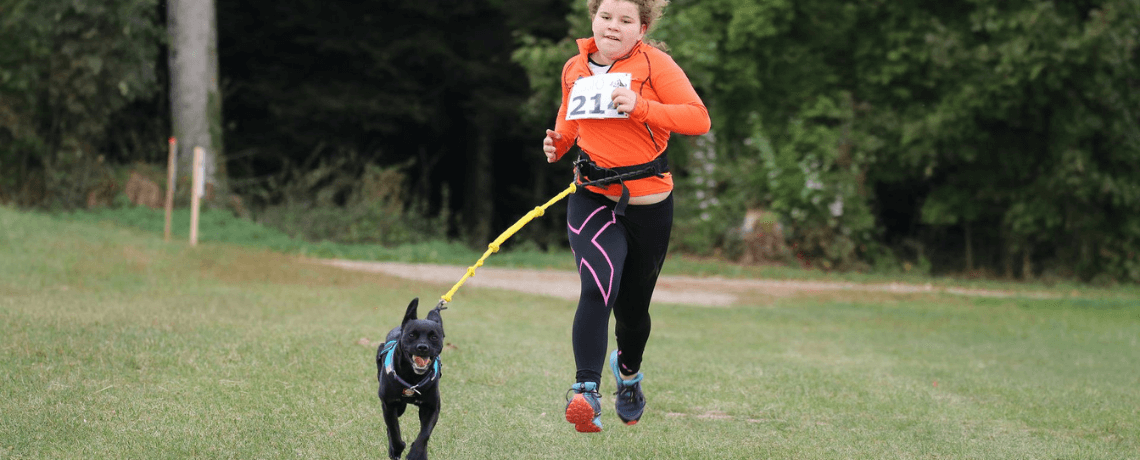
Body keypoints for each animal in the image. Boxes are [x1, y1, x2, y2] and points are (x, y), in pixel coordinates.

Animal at [376, 298, 442, 459]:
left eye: (434, 337)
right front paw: (397, 449)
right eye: (412, 335)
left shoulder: (432, 407)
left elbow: (424, 434)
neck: (413, 379)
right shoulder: (389, 404)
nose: (422, 347)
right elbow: (394, 430)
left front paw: (416, 453)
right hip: (399, 407)